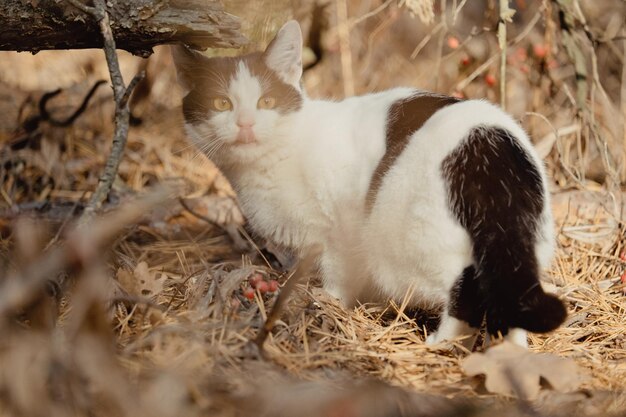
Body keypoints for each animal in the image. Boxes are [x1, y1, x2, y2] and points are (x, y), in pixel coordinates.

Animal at [172, 18, 564, 344]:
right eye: (221, 104)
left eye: (266, 101)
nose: (245, 125)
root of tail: (487, 146)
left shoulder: (338, 231)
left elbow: (336, 273)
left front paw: (328, 305)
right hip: (524, 240)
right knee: (510, 293)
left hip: (408, 236)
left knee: (464, 290)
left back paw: (443, 342)